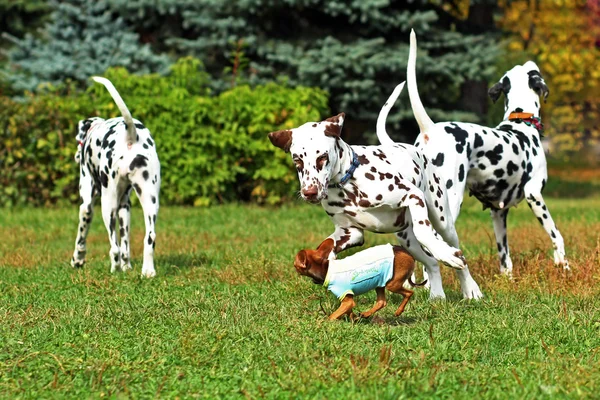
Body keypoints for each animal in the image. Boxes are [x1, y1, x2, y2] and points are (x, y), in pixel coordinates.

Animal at [71, 77, 161, 278]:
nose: (76, 156)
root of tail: (131, 135)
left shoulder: (87, 205)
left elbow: (82, 235)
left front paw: (77, 259)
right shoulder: (124, 206)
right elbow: (126, 245)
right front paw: (127, 267)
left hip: (107, 205)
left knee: (114, 247)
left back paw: (115, 269)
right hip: (149, 201)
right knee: (149, 237)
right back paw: (147, 271)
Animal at [268, 97, 482, 300]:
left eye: (322, 157)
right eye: (297, 160)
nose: (309, 192)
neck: (348, 184)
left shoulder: (412, 195)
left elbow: (424, 232)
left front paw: (448, 256)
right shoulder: (350, 232)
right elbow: (326, 246)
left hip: (444, 223)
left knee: (456, 256)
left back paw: (470, 288)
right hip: (407, 241)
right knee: (431, 263)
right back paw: (437, 295)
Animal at [378, 30, 568, 278]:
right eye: (532, 70)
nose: (530, 59)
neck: (521, 123)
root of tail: (430, 129)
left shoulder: (498, 212)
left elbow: (504, 254)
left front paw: (508, 278)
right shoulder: (534, 194)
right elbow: (556, 235)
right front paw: (564, 265)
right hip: (448, 204)